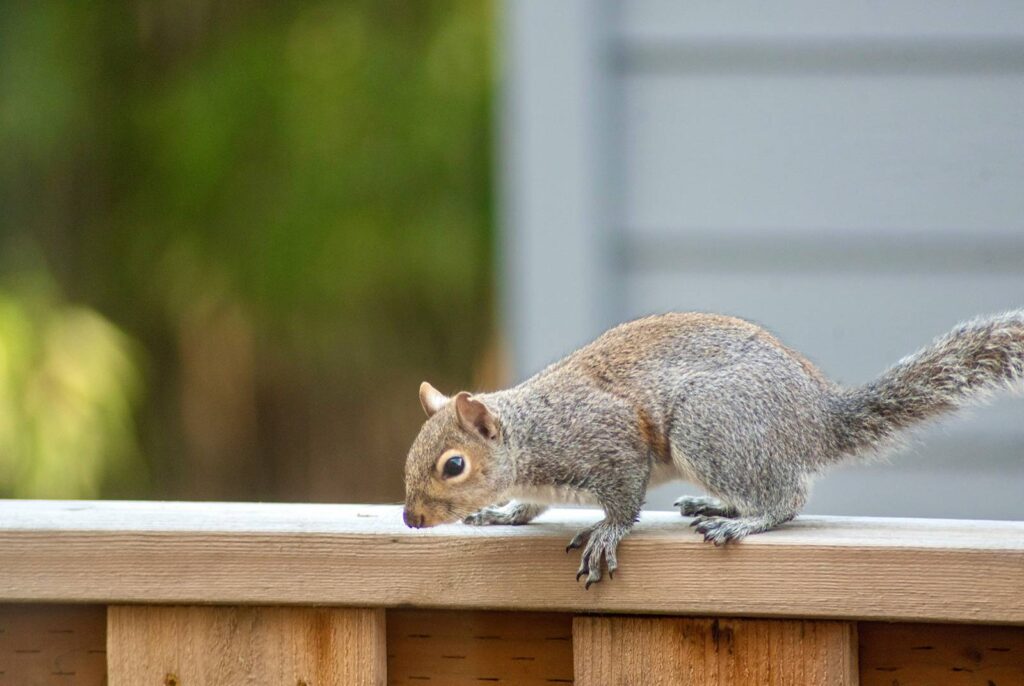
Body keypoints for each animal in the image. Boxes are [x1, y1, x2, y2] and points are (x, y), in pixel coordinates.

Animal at [402, 310, 1024, 587]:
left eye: (454, 465)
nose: (410, 519)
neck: (531, 435)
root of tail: (815, 418)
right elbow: (528, 504)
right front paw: (502, 513)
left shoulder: (609, 440)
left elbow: (623, 500)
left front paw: (605, 533)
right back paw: (715, 505)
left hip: (711, 427)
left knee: (787, 497)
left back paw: (742, 520)